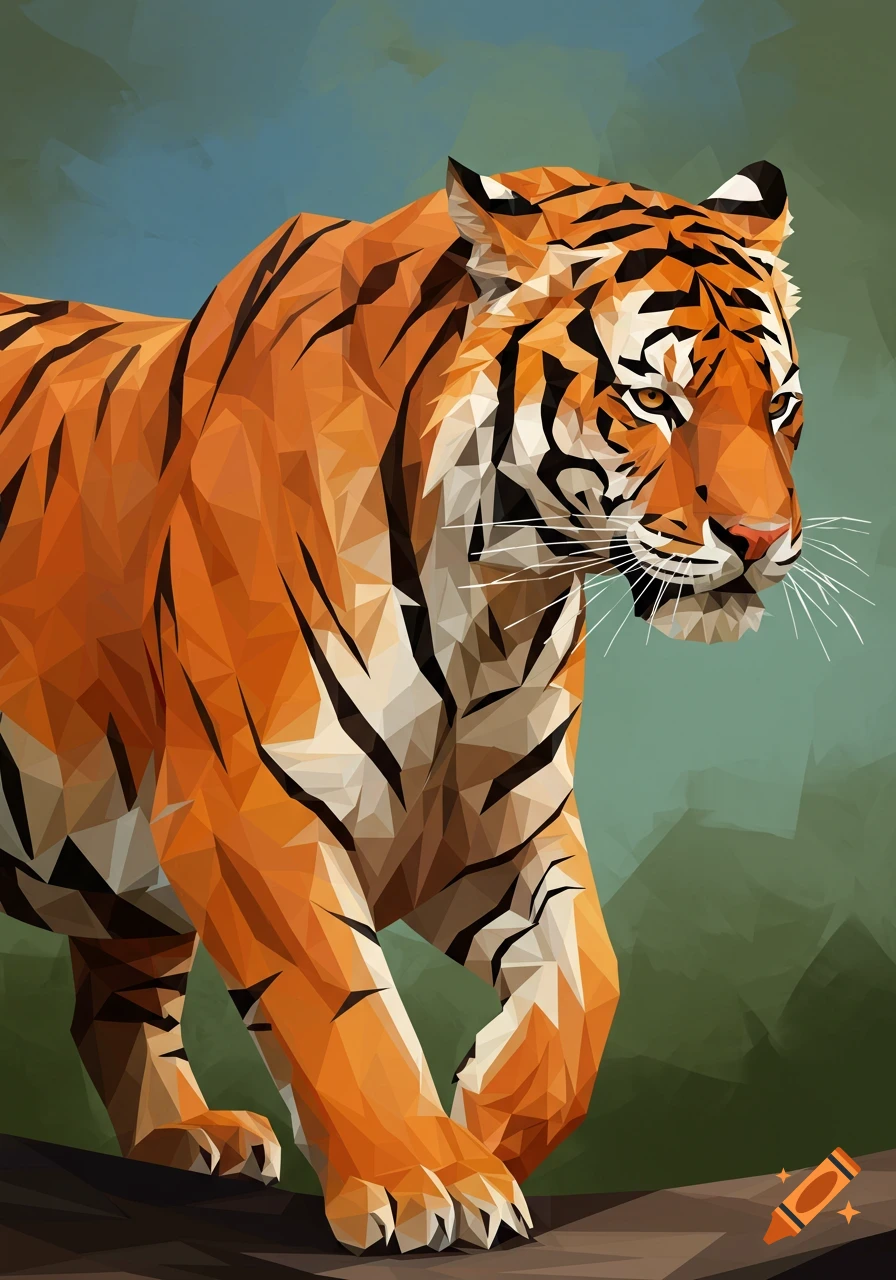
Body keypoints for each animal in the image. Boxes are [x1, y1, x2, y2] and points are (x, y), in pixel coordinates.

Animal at [0, 156, 802, 1253]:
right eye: (651, 398)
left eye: (779, 402)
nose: (761, 539)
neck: (497, 586)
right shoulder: (250, 806)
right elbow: (342, 1005)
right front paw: (427, 1173)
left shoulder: (490, 821)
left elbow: (589, 979)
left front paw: (488, 1116)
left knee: (112, 1002)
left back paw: (189, 1136)